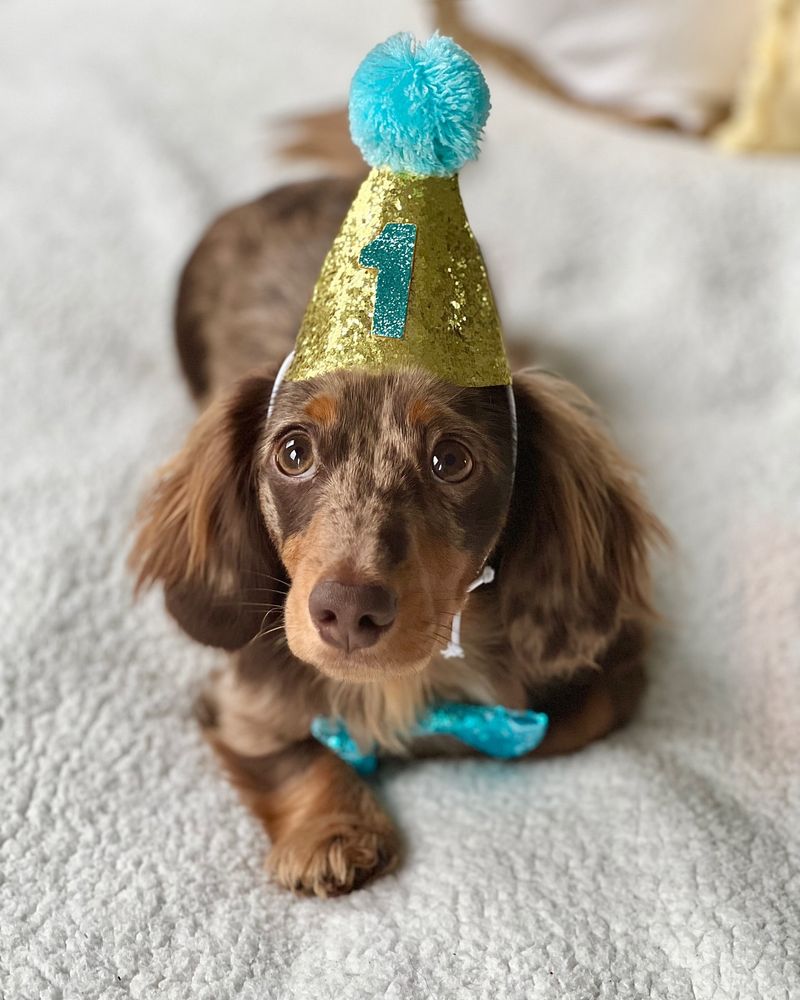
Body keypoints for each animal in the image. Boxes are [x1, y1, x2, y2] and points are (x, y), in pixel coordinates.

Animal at [134, 178, 664, 900]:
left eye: (451, 460)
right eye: (293, 452)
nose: (347, 611)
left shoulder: (610, 672)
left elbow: (553, 724)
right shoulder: (243, 704)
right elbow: (297, 754)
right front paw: (332, 833)